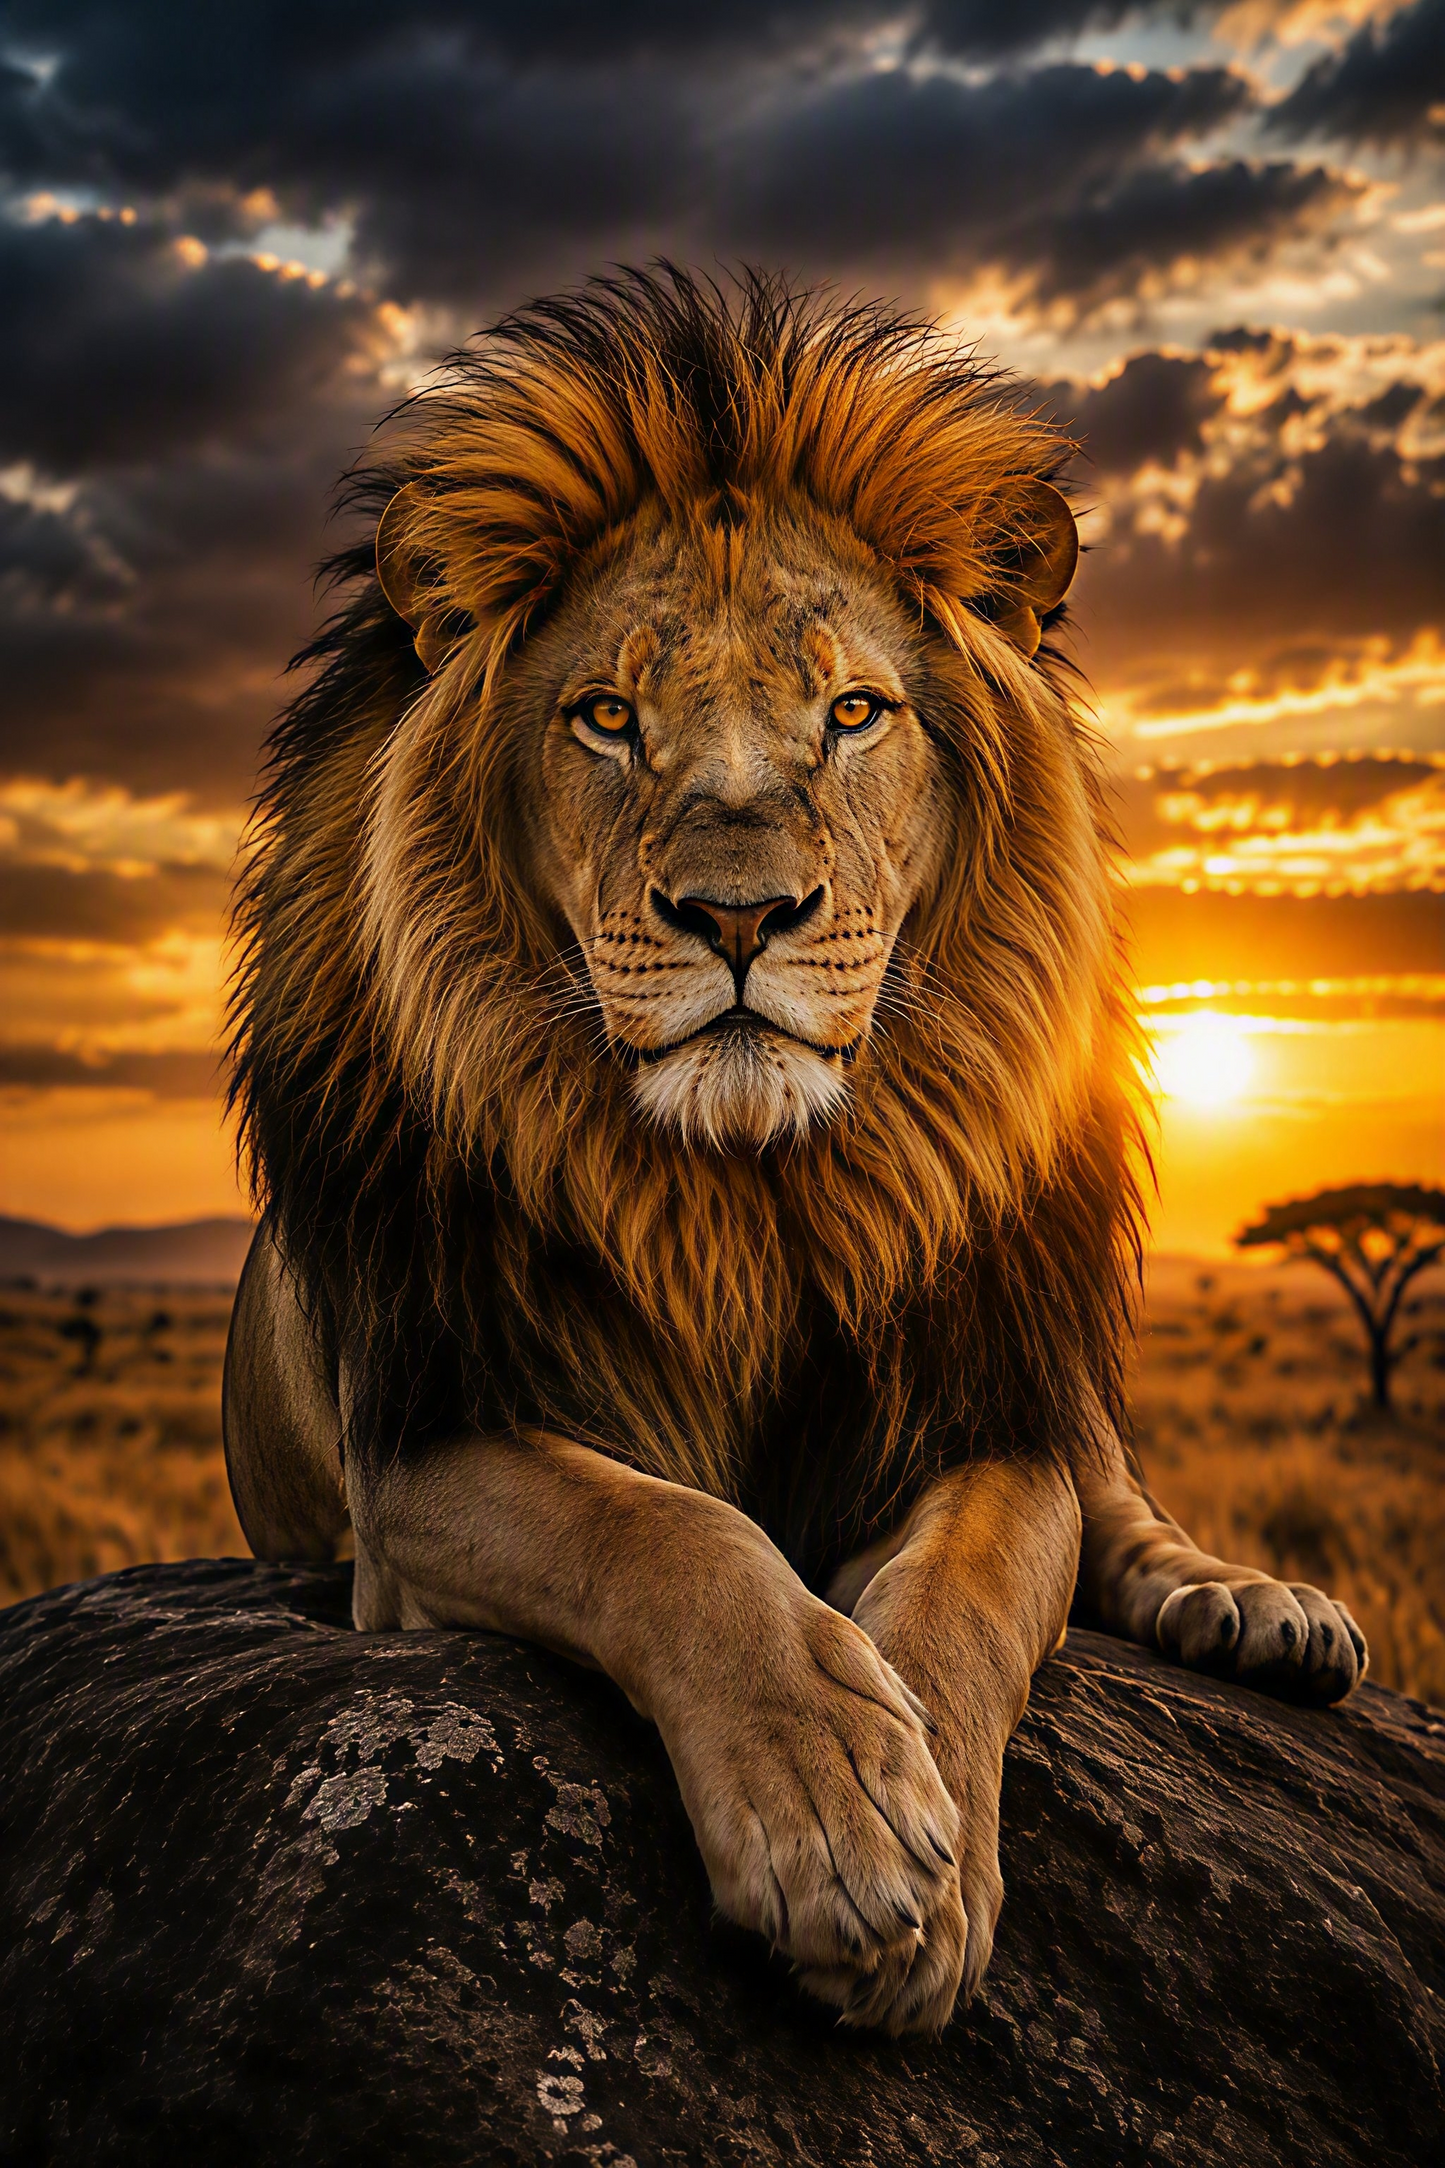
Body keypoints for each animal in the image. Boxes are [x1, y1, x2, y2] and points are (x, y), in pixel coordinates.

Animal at [223, 268, 1367, 2038]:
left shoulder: (977, 1416)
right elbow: (672, 1534)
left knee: (1115, 1489)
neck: (754, 1198)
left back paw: (1254, 1609)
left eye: (852, 714)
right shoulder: (424, 1447)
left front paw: (925, 1837)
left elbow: (964, 1595)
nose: (741, 913)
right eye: (606, 719)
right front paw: (833, 1807)